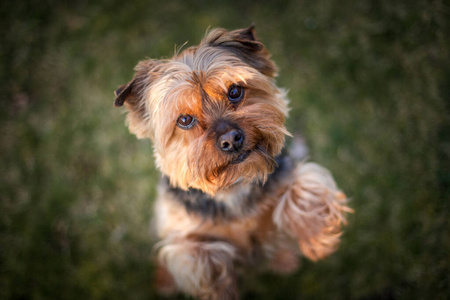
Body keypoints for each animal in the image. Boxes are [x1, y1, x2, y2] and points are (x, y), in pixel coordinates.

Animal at [113, 25, 352, 300]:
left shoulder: (289, 174)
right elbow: (195, 254)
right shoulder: (181, 235)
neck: (233, 187)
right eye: (184, 120)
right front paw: (221, 281)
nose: (231, 139)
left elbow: (305, 186)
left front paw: (315, 238)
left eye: (235, 91)